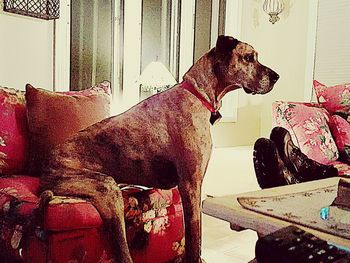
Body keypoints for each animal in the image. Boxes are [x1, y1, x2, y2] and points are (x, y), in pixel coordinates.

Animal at [39, 35, 278, 263]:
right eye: (248, 57)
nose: (276, 76)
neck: (197, 95)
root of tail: (45, 165)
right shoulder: (191, 185)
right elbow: (195, 237)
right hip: (107, 189)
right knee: (122, 251)